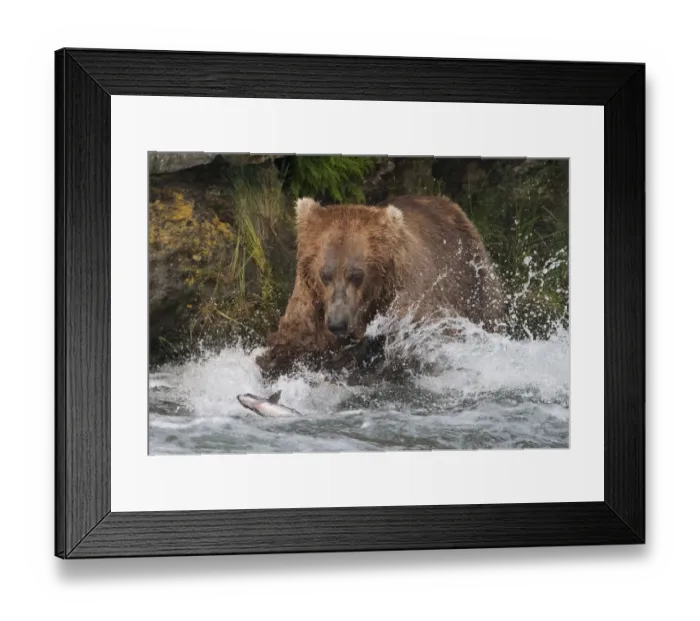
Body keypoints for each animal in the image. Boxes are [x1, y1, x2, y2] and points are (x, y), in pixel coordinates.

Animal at [255, 195, 505, 377]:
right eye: (325, 274)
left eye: (356, 275)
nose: (337, 323)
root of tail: (450, 205)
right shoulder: (309, 299)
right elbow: (292, 342)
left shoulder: (409, 295)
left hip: (473, 276)